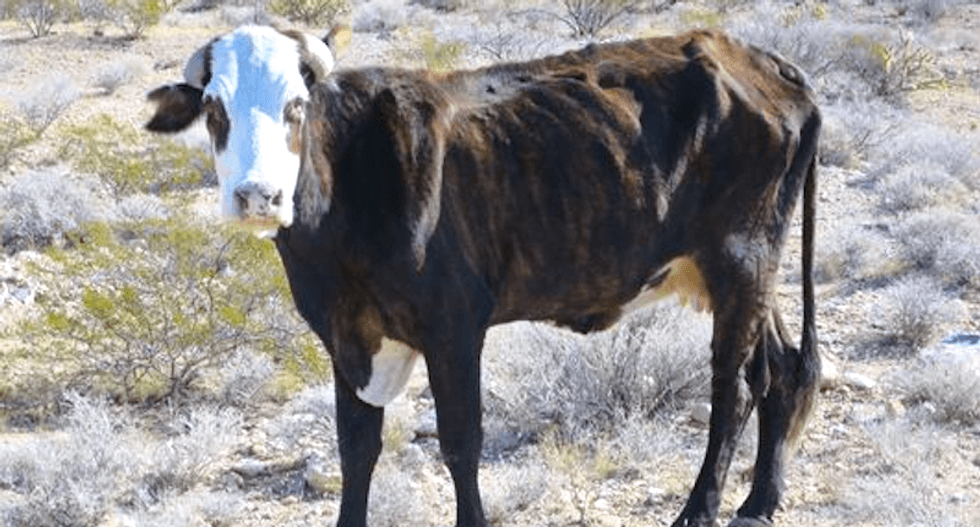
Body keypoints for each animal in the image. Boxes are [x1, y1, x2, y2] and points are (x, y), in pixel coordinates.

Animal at [145, 25, 821, 527]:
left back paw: (701, 511)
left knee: (734, 388)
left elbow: (460, 442)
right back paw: (759, 502)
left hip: (741, 258)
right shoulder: (346, 335)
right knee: (780, 369)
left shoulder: (453, 326)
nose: (257, 196)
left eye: (296, 106)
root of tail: (759, 60)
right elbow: (356, 448)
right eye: (213, 110)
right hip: (743, 269)